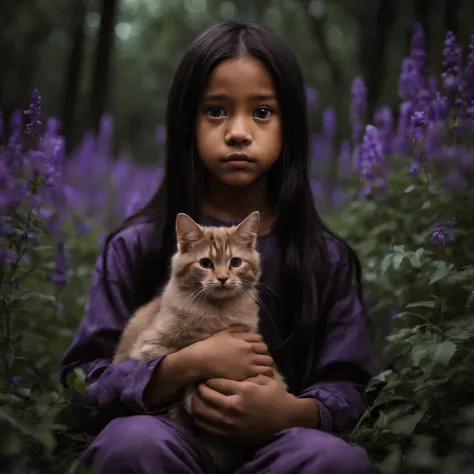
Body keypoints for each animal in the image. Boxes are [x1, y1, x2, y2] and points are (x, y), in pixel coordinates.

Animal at [113, 212, 286, 474]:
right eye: (205, 263)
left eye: (236, 262)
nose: (223, 278)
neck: (216, 312)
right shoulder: (148, 347)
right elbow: (186, 358)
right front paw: (190, 398)